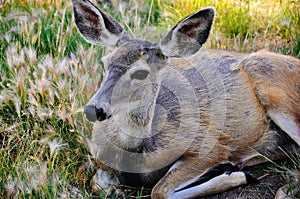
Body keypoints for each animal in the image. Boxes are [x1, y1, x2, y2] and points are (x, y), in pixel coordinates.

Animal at [71, 0, 298, 198]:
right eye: (104, 63)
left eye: (141, 73)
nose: (93, 109)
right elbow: (98, 185)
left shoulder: (208, 144)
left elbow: (159, 191)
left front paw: (236, 176)